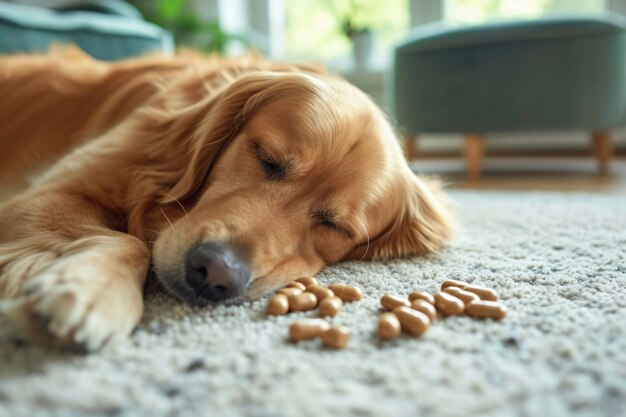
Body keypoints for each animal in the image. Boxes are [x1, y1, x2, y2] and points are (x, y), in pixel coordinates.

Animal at [0, 48, 450, 348]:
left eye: (334, 226)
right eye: (266, 158)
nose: (215, 273)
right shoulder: (47, 193)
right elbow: (127, 241)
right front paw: (92, 290)